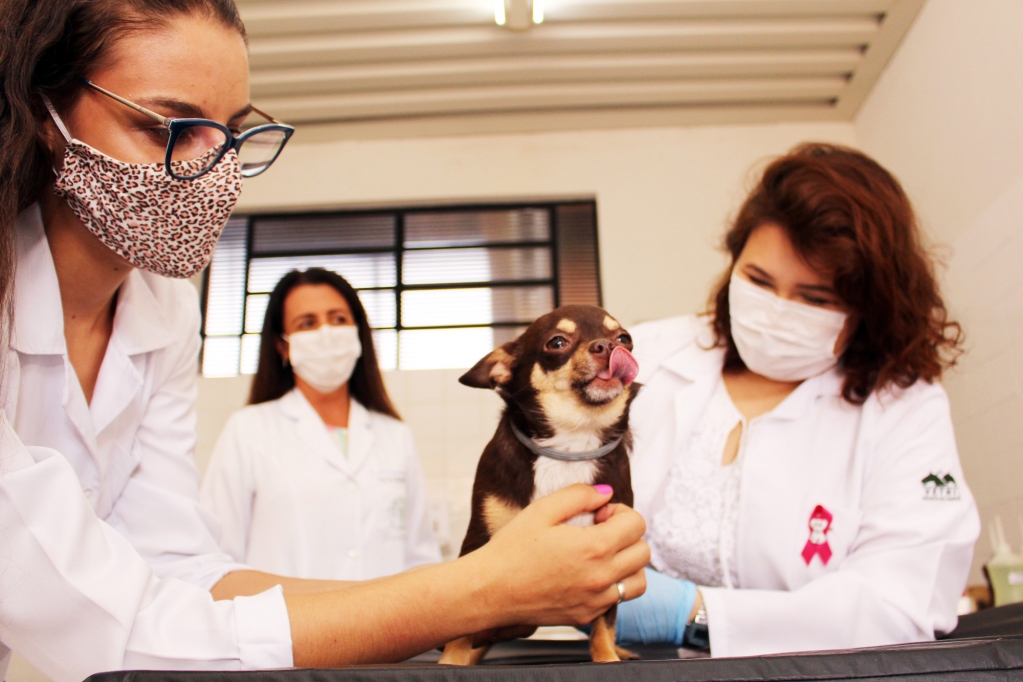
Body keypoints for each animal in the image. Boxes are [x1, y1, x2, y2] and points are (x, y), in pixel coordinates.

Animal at [439, 304, 638, 666]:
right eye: (557, 342)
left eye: (624, 339)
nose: (607, 346)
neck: (570, 447)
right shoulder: (477, 542)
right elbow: (462, 621)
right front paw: (453, 662)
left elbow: (605, 620)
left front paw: (606, 657)